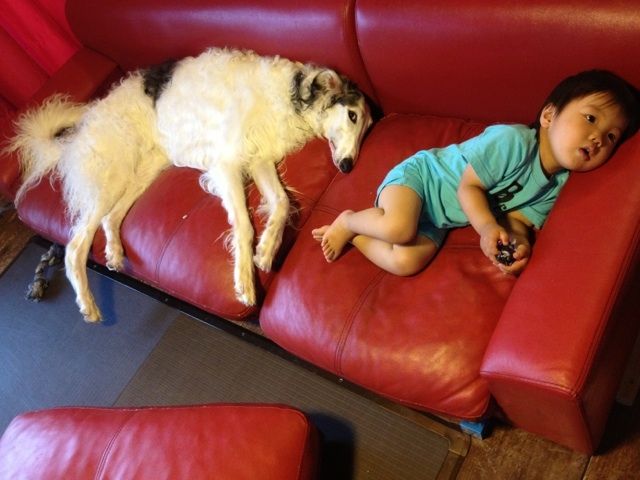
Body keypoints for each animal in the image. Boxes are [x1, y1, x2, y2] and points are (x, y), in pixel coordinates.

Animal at [8, 47, 372, 322]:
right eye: (352, 116)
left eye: (367, 128)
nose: (349, 166)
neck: (291, 95)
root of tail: (83, 125)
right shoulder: (226, 163)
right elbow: (243, 225)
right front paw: (244, 281)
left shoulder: (258, 157)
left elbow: (282, 204)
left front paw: (267, 251)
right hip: (112, 174)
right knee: (74, 247)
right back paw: (88, 305)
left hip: (144, 169)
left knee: (111, 218)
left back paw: (114, 253)